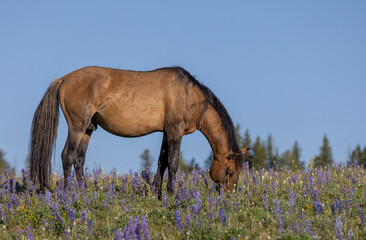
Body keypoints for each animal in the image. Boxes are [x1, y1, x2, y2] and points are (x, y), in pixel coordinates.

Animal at [28, 66, 249, 197]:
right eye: (229, 172)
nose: (229, 196)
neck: (189, 95)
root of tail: (64, 79)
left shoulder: (166, 132)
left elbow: (161, 162)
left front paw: (156, 192)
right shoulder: (175, 131)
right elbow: (173, 163)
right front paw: (171, 194)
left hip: (88, 129)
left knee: (79, 160)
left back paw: (84, 192)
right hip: (77, 126)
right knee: (68, 156)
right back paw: (70, 194)